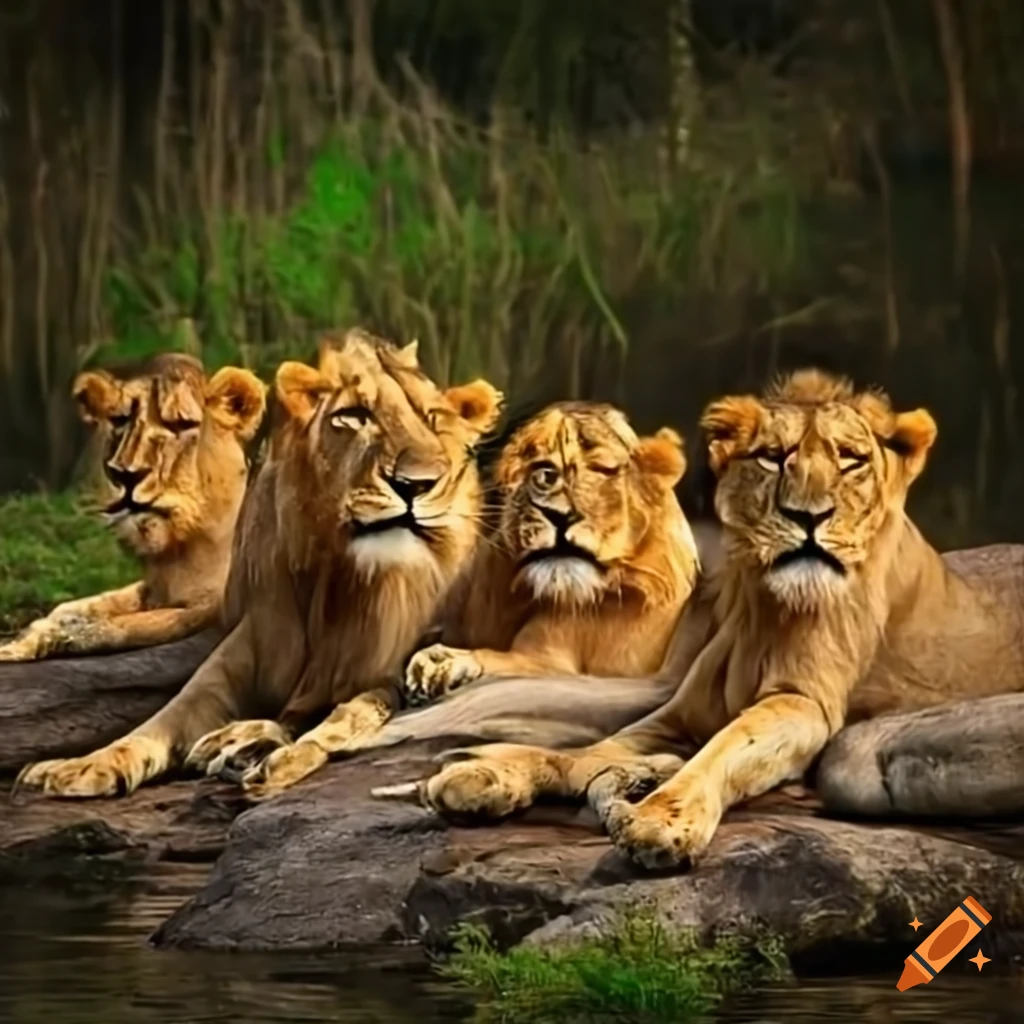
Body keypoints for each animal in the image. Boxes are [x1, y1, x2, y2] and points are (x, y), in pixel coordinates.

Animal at [0, 353, 266, 662]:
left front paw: (37, 641)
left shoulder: (210, 606)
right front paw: (33, 631)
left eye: (181, 425)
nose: (125, 474)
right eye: (120, 420)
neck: (178, 550)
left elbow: (113, 627)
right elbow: (84, 605)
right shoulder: (153, 588)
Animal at [383, 368, 1024, 867]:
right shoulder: (673, 717)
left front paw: (663, 819)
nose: (807, 517)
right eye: (773, 457)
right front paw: (486, 776)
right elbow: (584, 754)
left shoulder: (804, 705)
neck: (763, 607)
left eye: (851, 462)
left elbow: (728, 745)